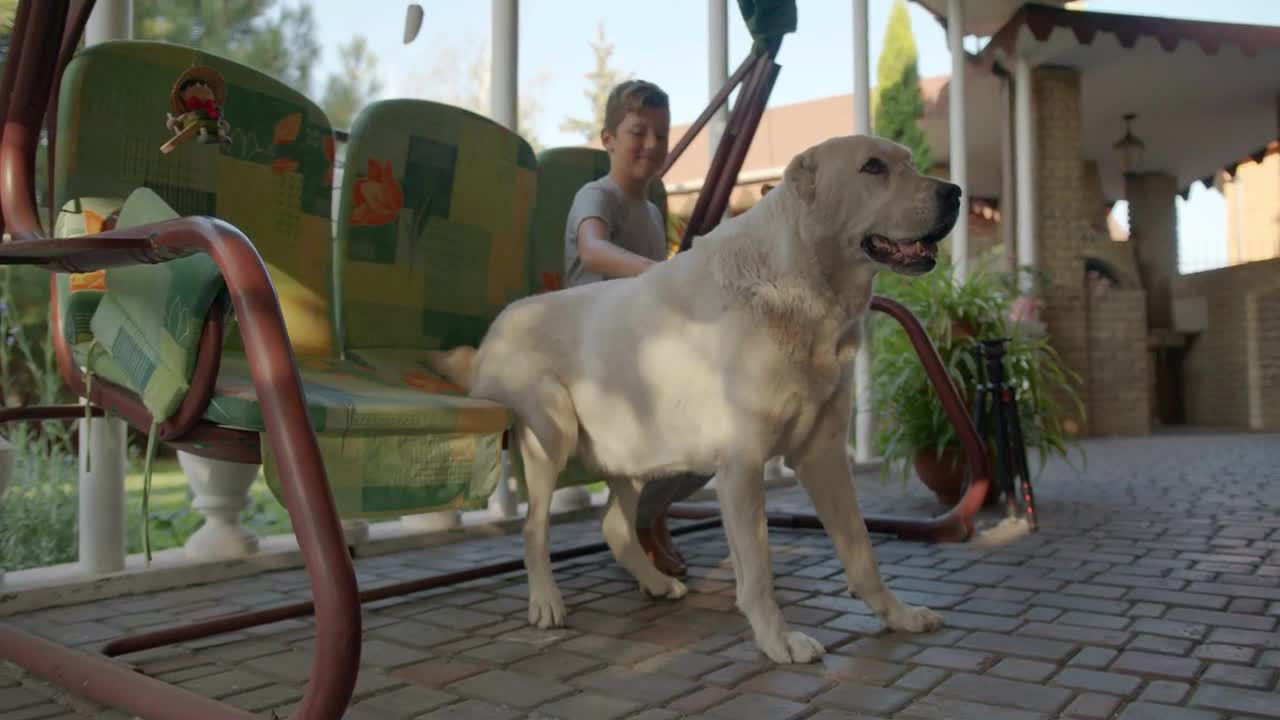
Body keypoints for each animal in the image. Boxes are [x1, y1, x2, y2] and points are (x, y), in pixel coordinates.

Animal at [430, 134, 962, 661]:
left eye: (907, 162)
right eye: (873, 167)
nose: (954, 192)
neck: (803, 288)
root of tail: (493, 332)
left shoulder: (824, 454)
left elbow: (862, 550)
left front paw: (899, 616)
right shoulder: (742, 466)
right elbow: (759, 570)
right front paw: (778, 641)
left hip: (632, 451)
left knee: (615, 527)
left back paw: (655, 582)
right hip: (551, 430)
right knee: (534, 527)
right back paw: (546, 603)